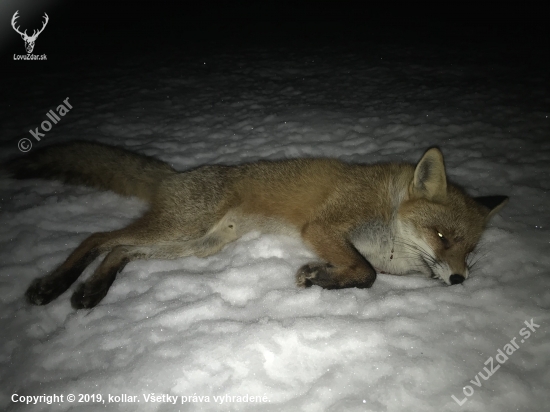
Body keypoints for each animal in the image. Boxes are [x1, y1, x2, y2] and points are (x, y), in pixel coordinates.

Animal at [6, 142, 512, 308]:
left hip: (197, 243)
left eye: (469, 250)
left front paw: (321, 277)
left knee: (119, 250)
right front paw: (316, 276)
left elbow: (363, 273)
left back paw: (93, 290)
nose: (459, 279)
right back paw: (55, 285)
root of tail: (175, 174)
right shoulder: (323, 228)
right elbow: (366, 274)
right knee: (98, 237)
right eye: (441, 237)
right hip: (183, 230)